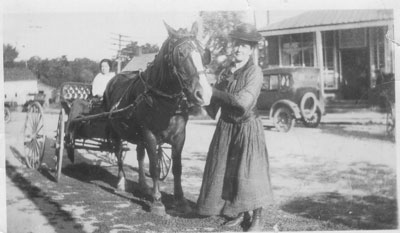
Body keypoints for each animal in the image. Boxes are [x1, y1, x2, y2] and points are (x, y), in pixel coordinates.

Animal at [103, 21, 212, 215]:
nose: (204, 94)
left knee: (139, 155)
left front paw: (180, 200)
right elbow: (154, 167)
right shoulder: (149, 135)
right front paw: (157, 201)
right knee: (118, 152)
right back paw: (121, 182)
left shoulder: (179, 137)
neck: (162, 98)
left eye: (203, 53)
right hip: (116, 130)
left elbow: (177, 168)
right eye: (181, 54)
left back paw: (143, 185)